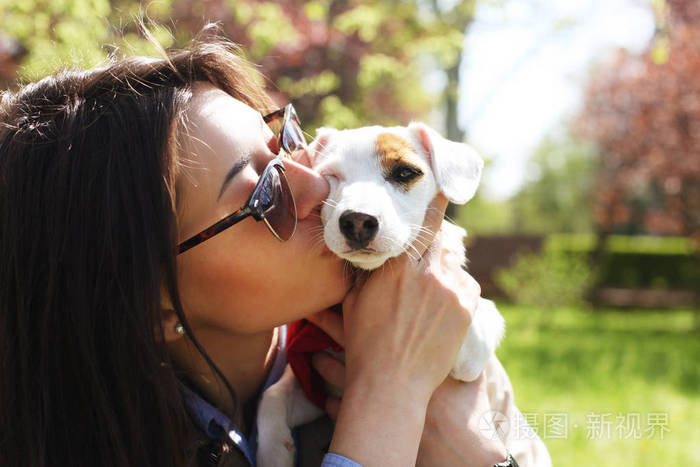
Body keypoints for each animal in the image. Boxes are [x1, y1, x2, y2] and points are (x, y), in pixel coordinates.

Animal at [256, 121, 504, 467]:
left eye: (405, 172)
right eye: (330, 176)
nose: (357, 221)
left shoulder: (478, 334)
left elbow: (472, 337)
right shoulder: (315, 384)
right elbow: (271, 397)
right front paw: (274, 453)